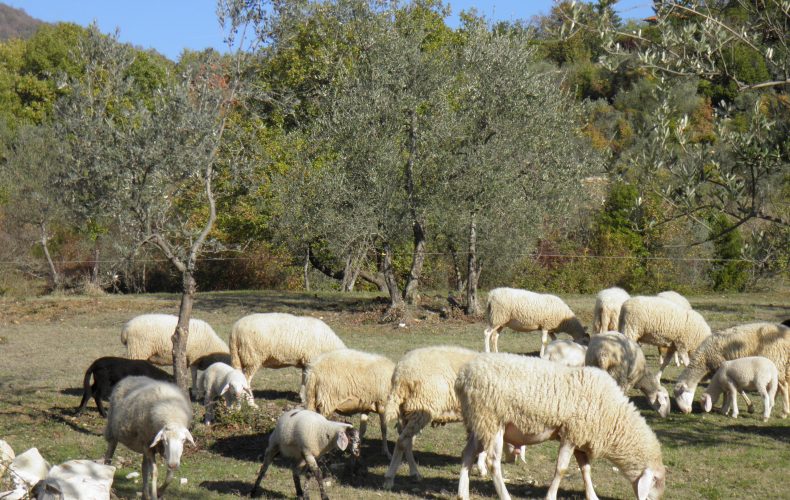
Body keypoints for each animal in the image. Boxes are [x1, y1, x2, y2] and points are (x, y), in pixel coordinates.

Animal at [382, 345, 478, 489]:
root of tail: (400, 373)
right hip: (421, 406)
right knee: (402, 441)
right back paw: (389, 479)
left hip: (409, 411)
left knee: (407, 442)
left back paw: (414, 473)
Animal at [456, 353, 666, 500]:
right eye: (656, 481)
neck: (612, 416)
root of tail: (463, 377)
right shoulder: (571, 435)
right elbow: (562, 469)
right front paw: (550, 495)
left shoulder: (581, 437)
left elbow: (586, 469)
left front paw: (592, 496)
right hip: (492, 421)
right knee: (492, 462)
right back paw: (505, 496)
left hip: (480, 422)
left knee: (467, 453)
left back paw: (462, 493)